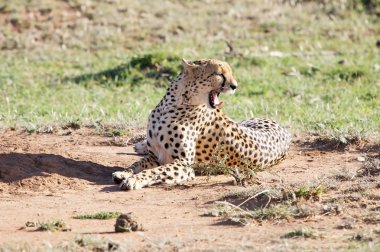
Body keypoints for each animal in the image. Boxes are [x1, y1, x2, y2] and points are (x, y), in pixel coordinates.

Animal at [113, 59, 290, 189]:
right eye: (220, 74)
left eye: (230, 73)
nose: (235, 86)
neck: (176, 103)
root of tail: (285, 129)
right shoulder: (155, 156)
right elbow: (138, 163)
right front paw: (125, 172)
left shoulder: (184, 165)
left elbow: (157, 171)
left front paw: (135, 180)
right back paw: (139, 145)